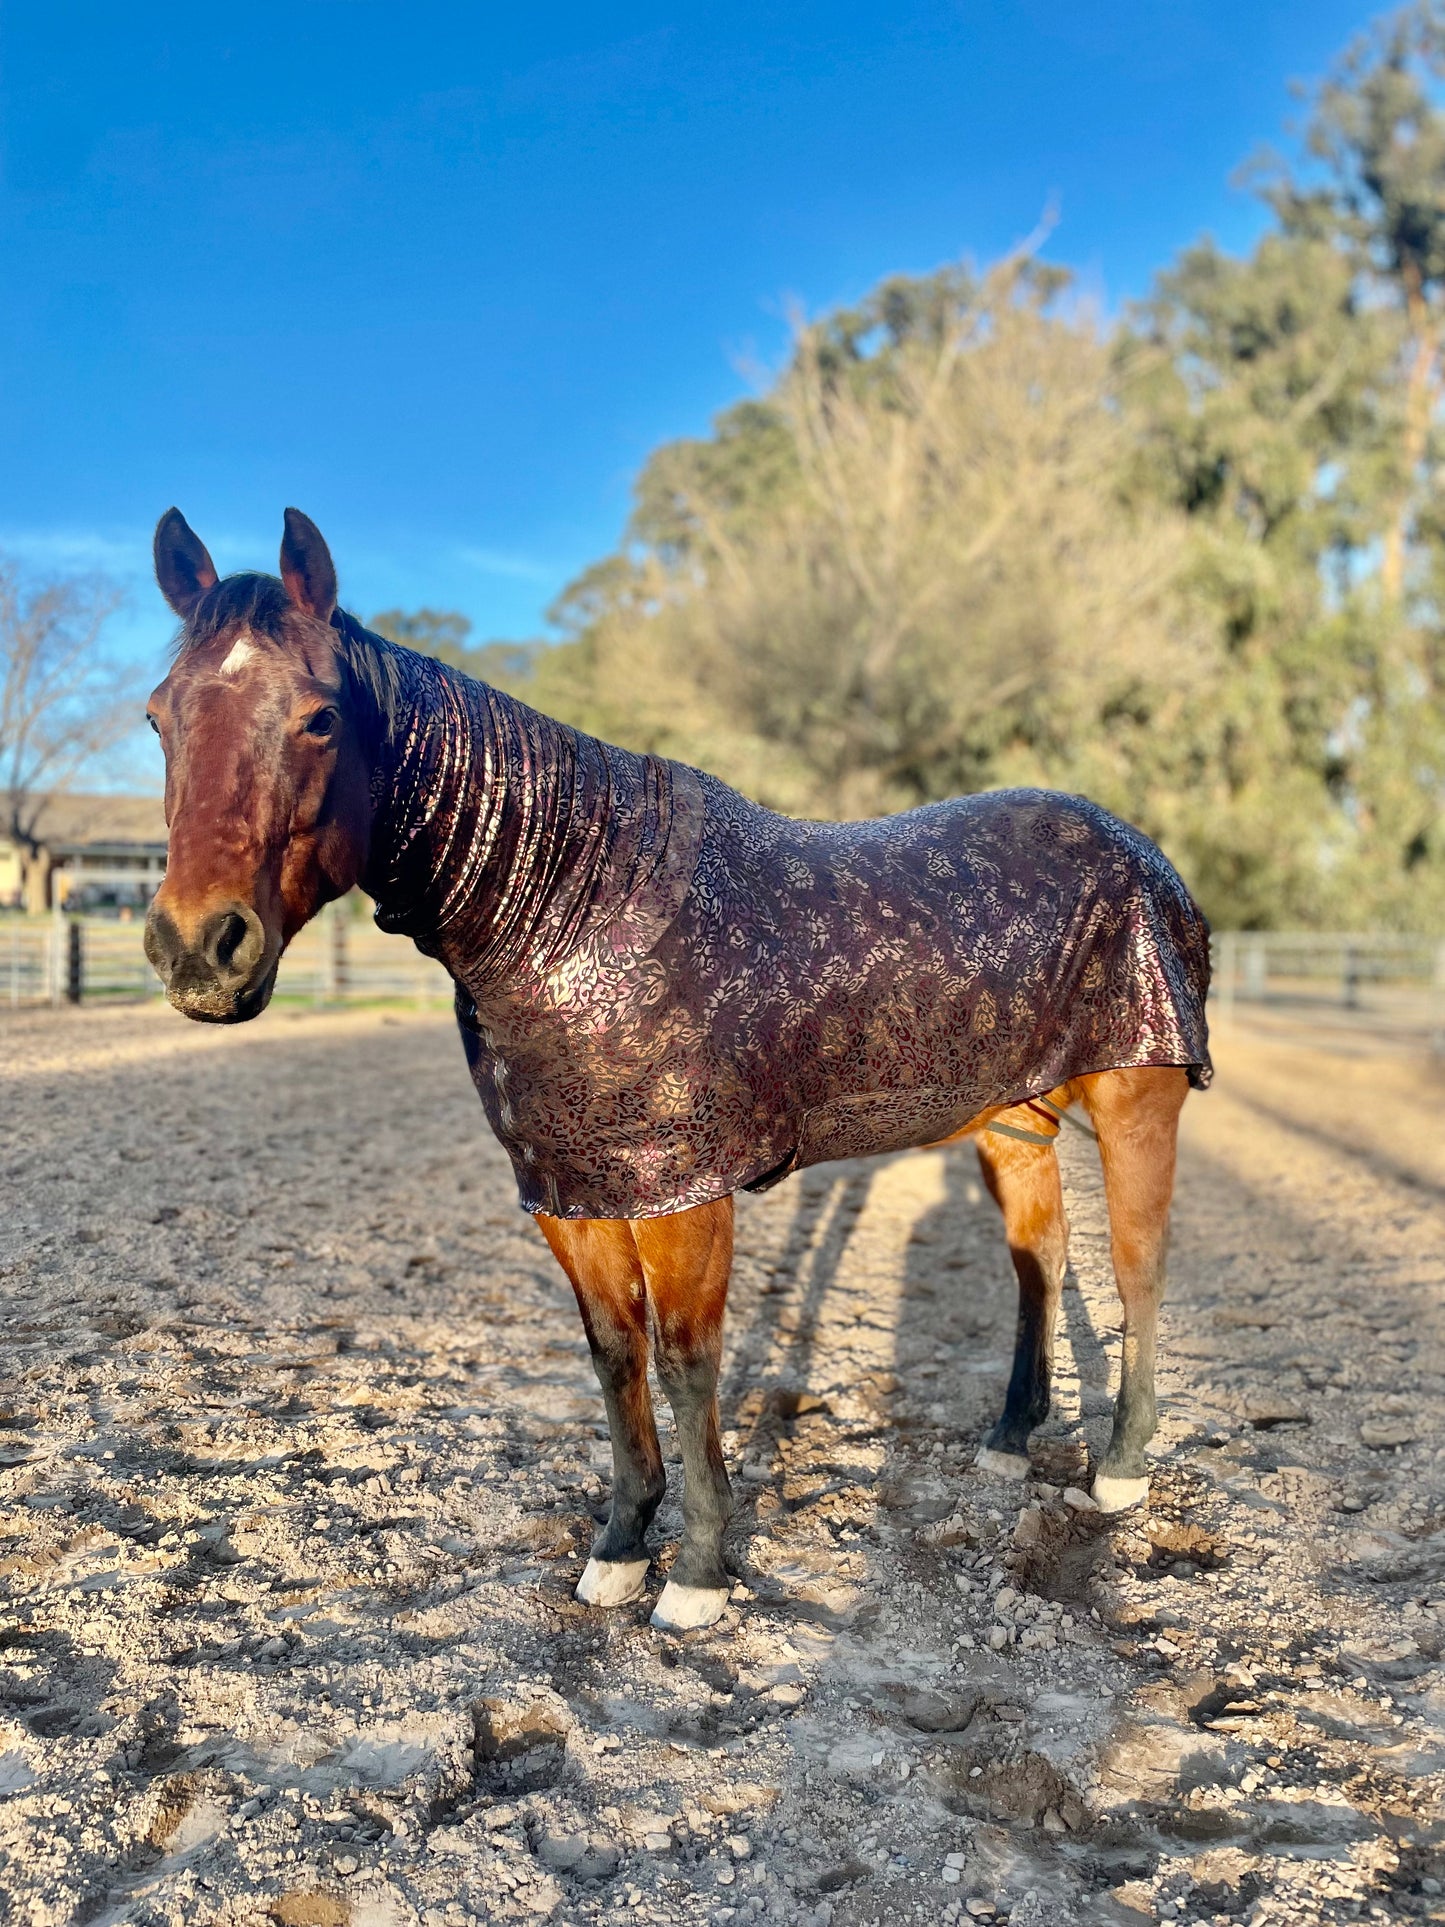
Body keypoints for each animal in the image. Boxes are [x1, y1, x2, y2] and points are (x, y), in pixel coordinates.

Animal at [147, 508, 1209, 1626]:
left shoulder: (684, 1197)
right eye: (159, 719)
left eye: (317, 719)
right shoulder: (574, 1194)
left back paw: (1119, 1468)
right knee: (1037, 1258)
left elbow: (688, 1363)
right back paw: (1009, 1440)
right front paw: (619, 1547)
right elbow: (615, 1355)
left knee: (1136, 1264)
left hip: (1136, 1096)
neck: (569, 910)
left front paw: (697, 1571)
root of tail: (1139, 853)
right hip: (1012, 1118)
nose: (197, 949)